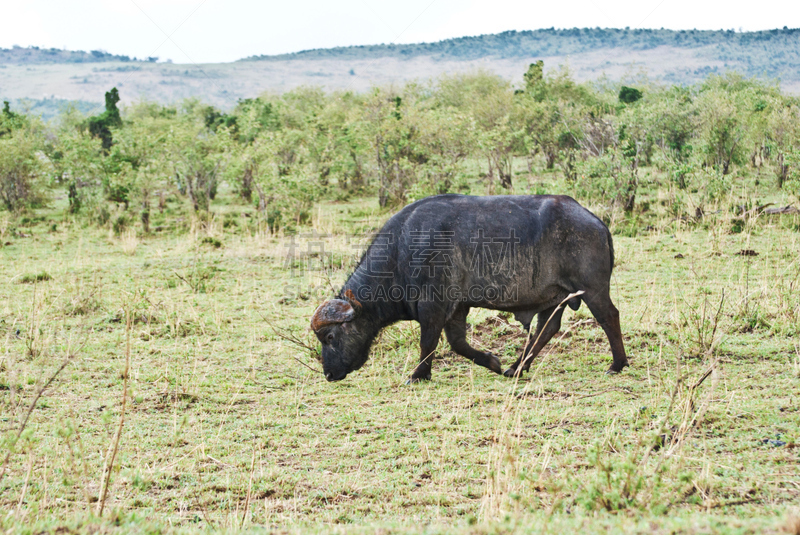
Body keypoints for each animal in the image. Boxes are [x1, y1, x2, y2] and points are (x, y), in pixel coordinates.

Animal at [312, 195, 632, 384]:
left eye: (330, 337)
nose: (329, 374)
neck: (402, 250)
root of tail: (596, 222)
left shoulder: (433, 306)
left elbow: (428, 343)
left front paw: (418, 374)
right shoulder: (457, 309)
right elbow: (458, 344)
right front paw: (491, 361)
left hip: (592, 290)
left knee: (609, 317)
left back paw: (618, 364)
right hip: (555, 298)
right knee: (547, 328)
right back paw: (517, 367)